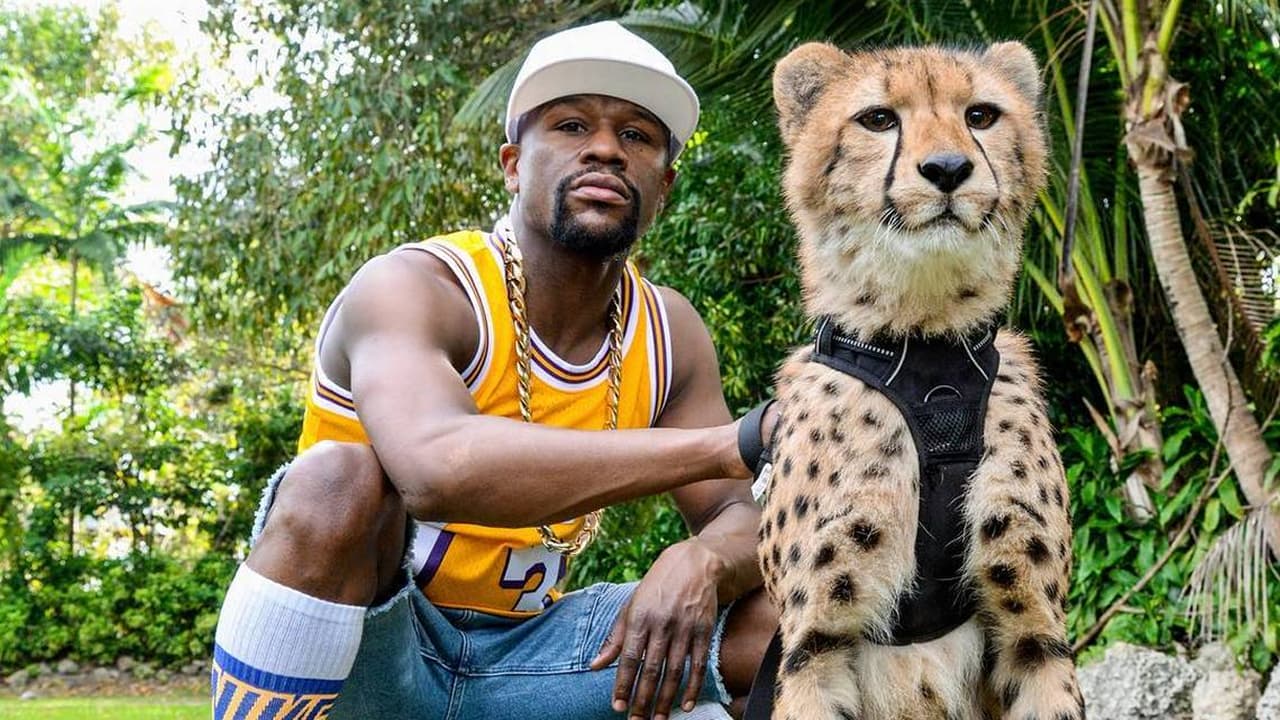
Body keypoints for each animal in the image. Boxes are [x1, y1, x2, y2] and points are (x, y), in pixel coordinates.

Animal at [752, 41, 1085, 712]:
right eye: (879, 119)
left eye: (981, 115)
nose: (949, 168)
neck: (927, 352)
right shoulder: (813, 649)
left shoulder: (1035, 631)